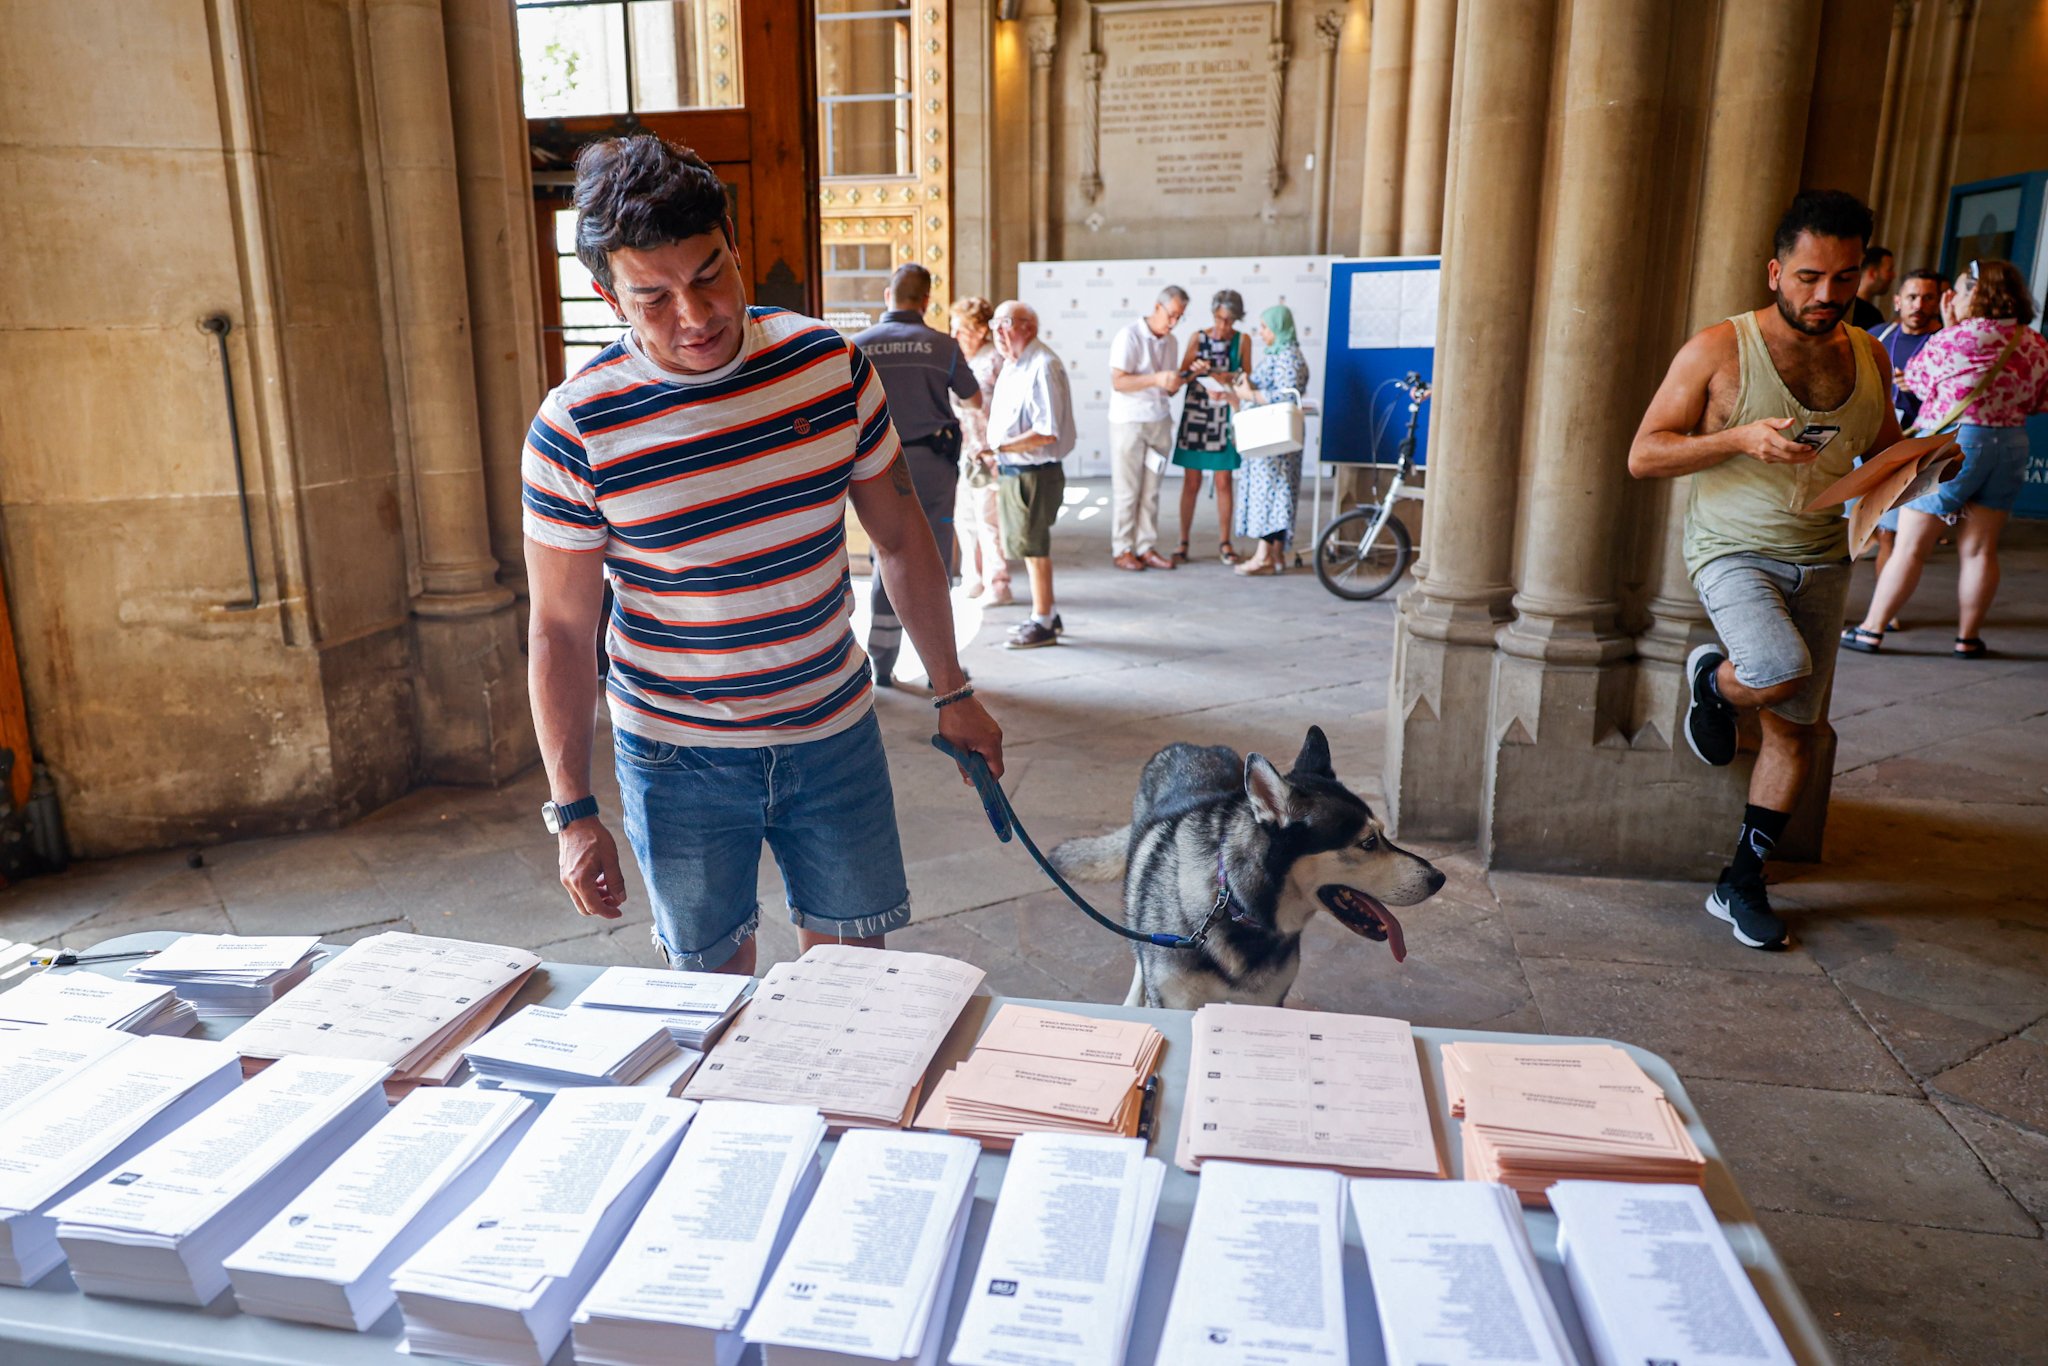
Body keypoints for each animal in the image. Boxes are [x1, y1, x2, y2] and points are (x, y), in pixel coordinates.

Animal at [1048, 733, 1449, 1011]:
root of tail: (1190, 745)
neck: (1234, 907)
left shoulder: (1266, 1002)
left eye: (1383, 834)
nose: (1438, 878)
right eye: (1367, 843)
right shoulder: (1176, 999)